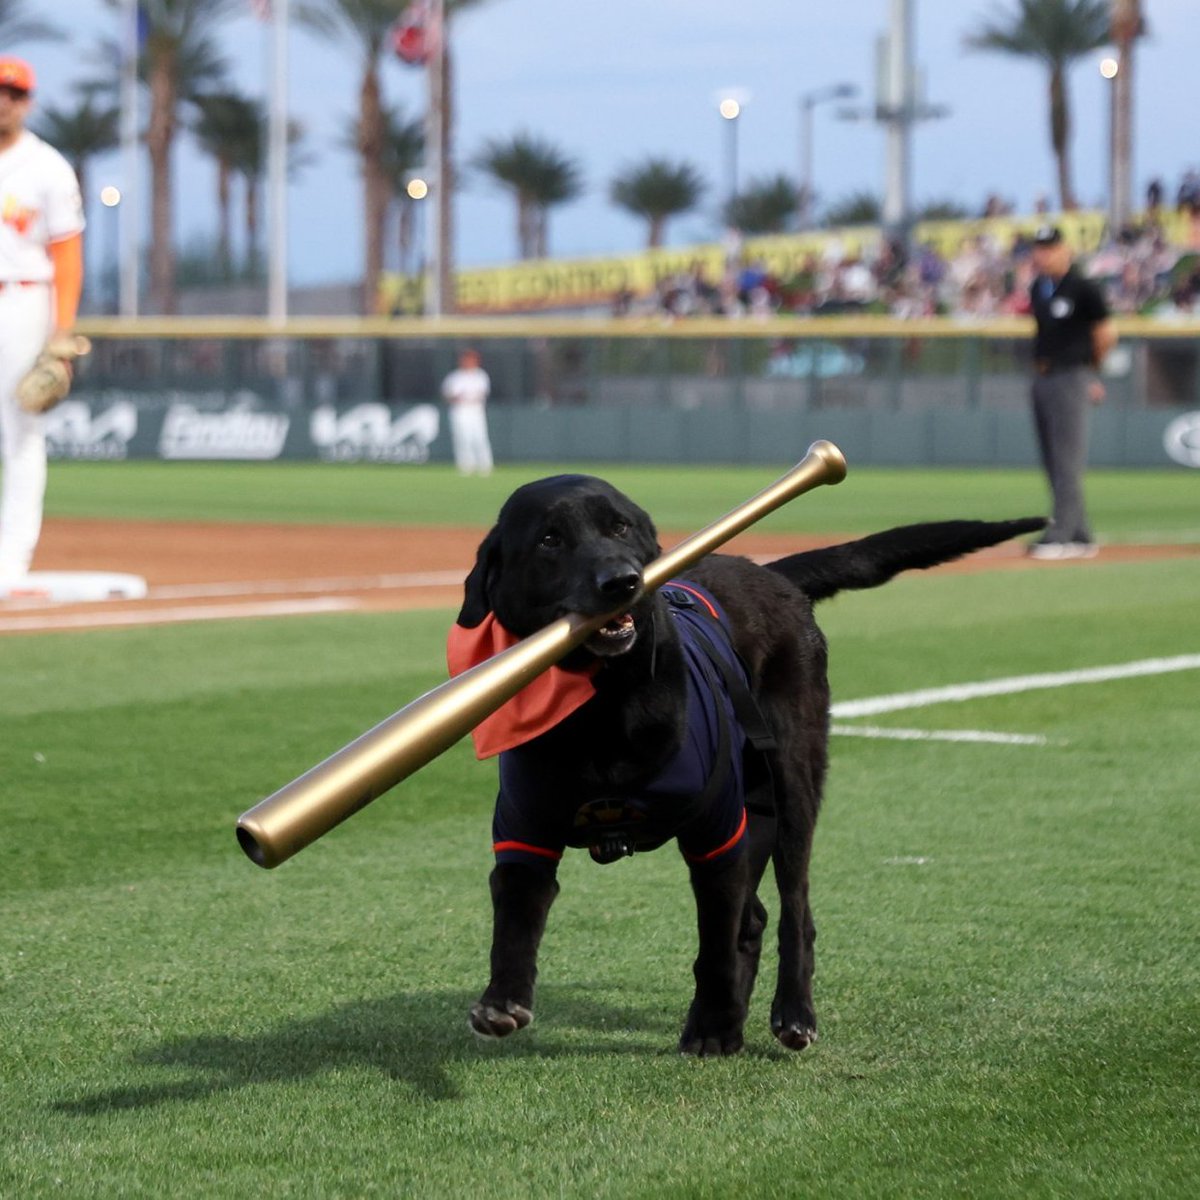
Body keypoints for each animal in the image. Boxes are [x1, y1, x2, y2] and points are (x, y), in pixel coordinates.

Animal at [453, 472, 1046, 1056]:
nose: (620, 581)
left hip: (792, 786)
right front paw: (502, 1000)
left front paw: (716, 1027)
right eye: (549, 540)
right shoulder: (524, 832)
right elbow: (515, 921)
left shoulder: (717, 836)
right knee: (755, 918)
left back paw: (789, 1013)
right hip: (756, 810)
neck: (605, 709)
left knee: (793, 912)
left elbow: (716, 943)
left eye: (620, 527)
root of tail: (773, 574)